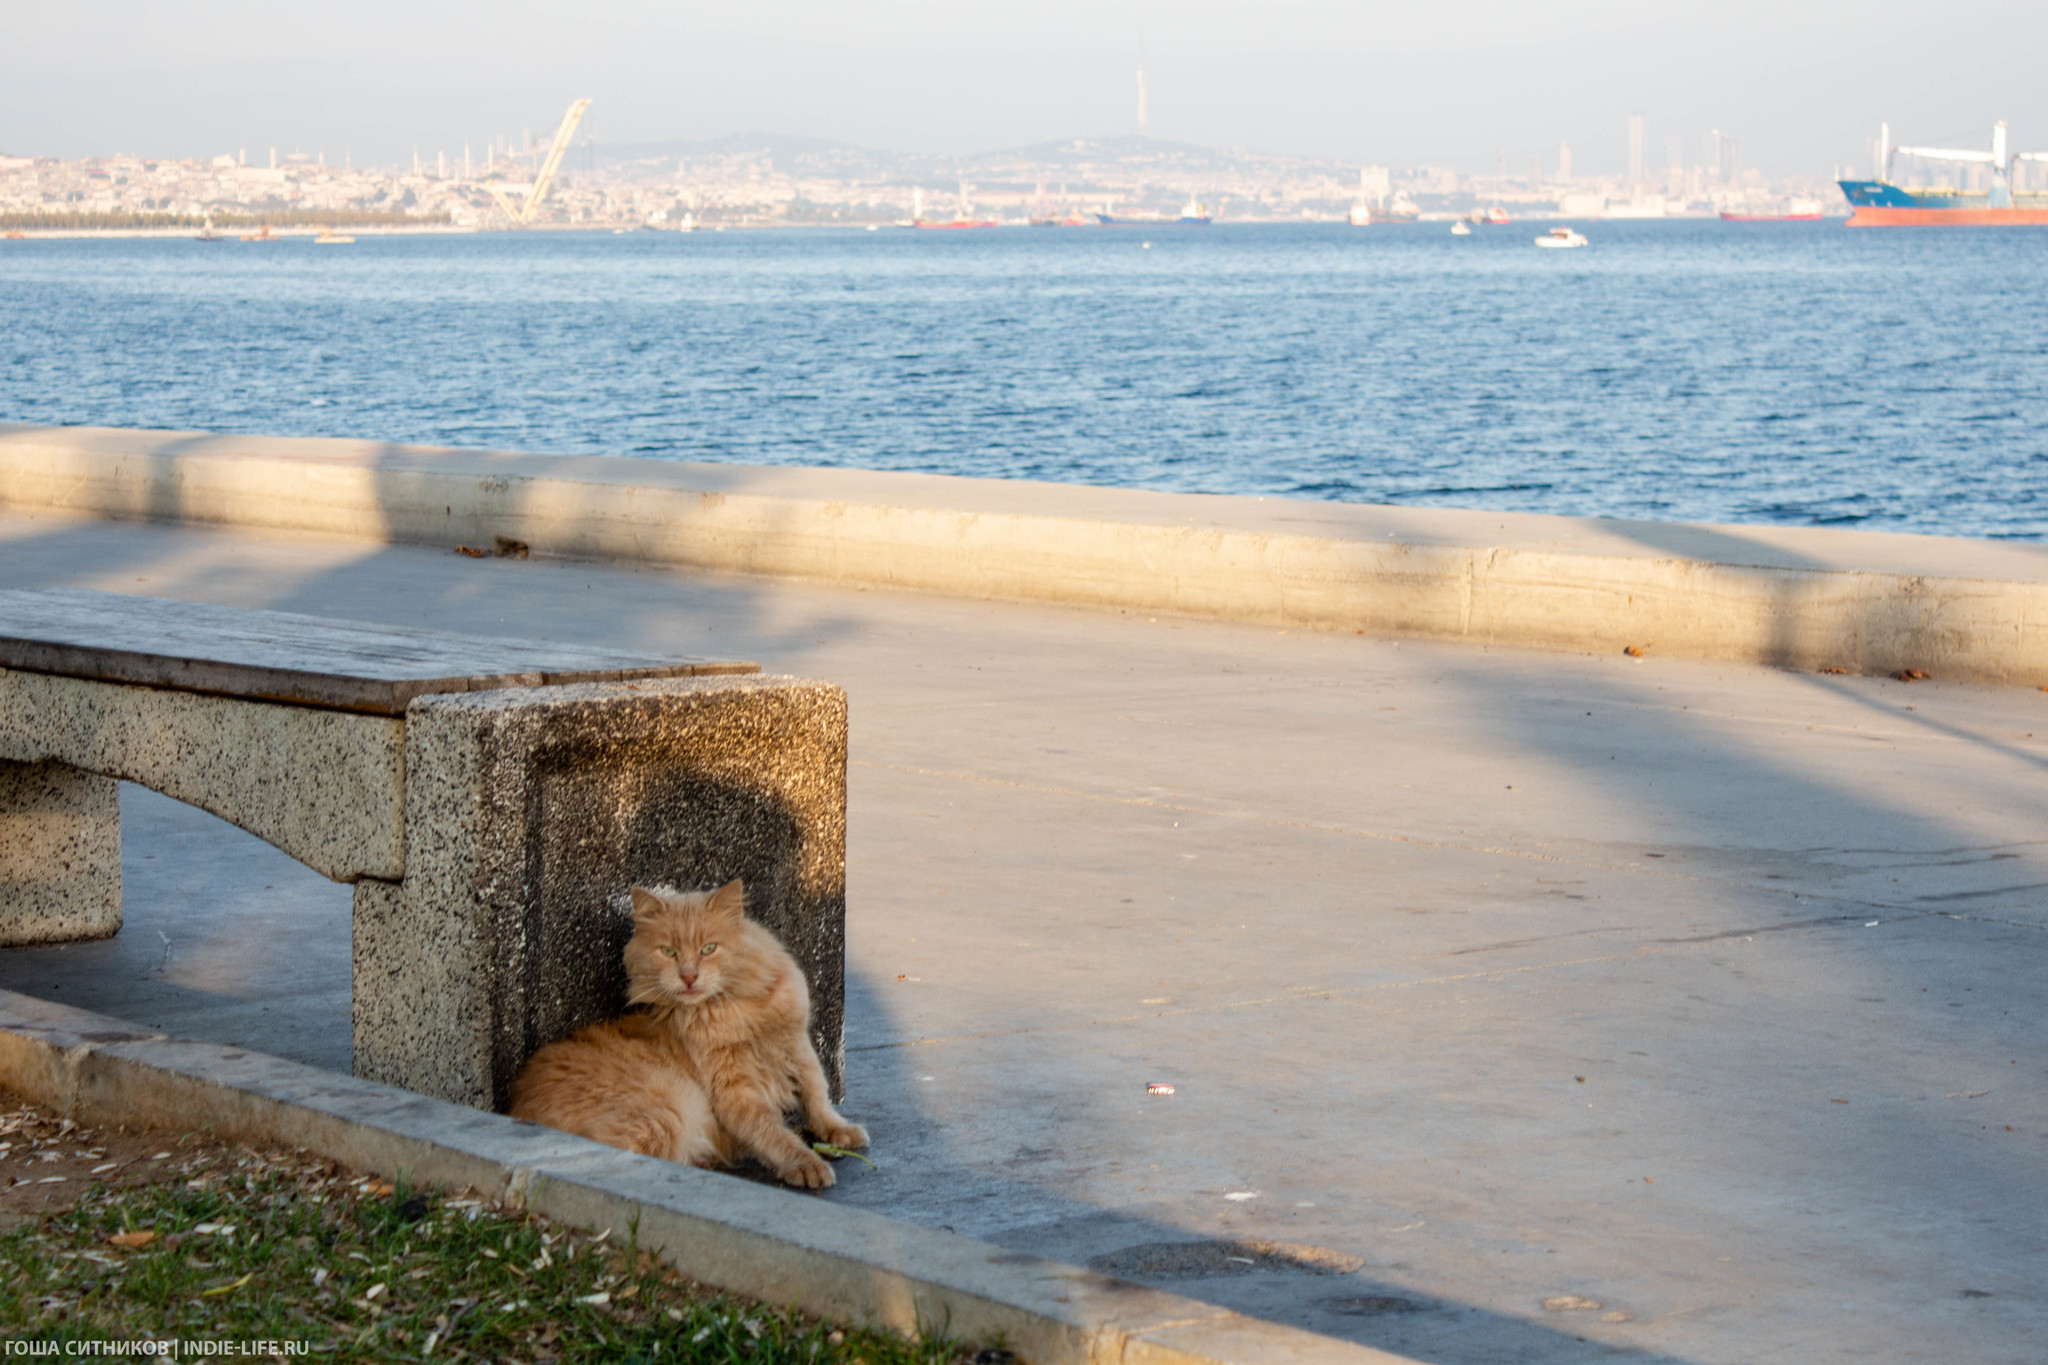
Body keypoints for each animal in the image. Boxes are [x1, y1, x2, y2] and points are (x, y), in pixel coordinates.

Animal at [512, 879, 872, 1186]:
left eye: (708, 949)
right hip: (664, 1116)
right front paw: (805, 1163)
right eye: (668, 951)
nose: (688, 976)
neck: (731, 1009)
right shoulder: (735, 1091)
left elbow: (817, 1097)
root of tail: (517, 1109)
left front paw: (837, 1131)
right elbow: (770, 1133)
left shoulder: (797, 1047)